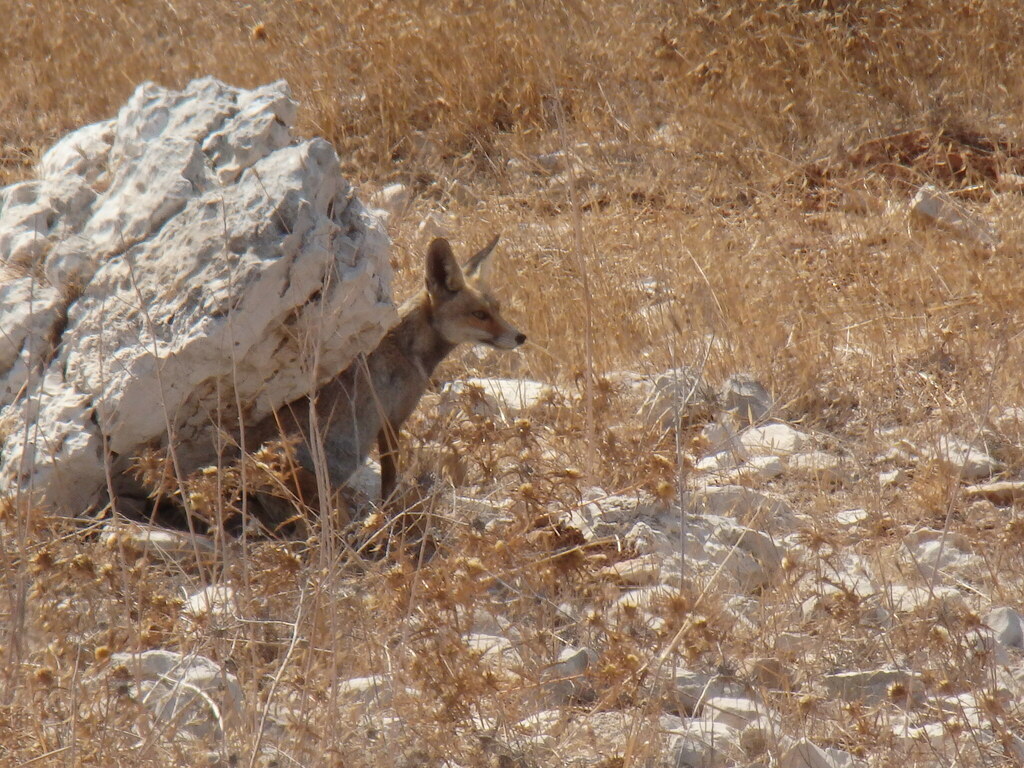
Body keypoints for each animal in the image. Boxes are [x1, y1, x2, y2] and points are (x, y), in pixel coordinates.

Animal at [246, 235, 526, 517]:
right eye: (479, 315)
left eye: (498, 309)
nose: (521, 337)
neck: (406, 349)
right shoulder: (391, 421)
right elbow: (389, 482)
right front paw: (391, 513)